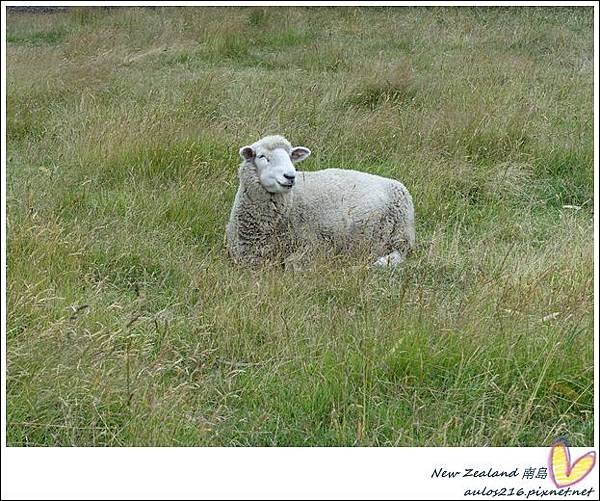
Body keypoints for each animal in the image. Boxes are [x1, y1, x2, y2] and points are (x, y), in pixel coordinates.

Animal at [226, 133, 418, 266]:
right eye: (262, 157)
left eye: (290, 156)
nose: (290, 176)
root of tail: (398, 185)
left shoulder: (315, 245)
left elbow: (291, 264)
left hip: (399, 232)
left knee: (400, 252)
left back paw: (381, 263)